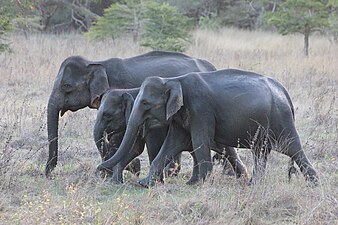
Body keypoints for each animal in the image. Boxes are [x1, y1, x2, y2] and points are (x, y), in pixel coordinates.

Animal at [45, 50, 217, 177]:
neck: (97, 63)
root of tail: (212, 67)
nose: (48, 173)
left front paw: (131, 168)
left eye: (66, 86)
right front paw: (132, 168)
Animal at [93, 88, 247, 183]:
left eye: (107, 115)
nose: (98, 171)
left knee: (223, 149)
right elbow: (135, 148)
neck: (129, 91)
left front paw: (157, 181)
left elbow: (152, 146)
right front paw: (115, 182)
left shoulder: (155, 124)